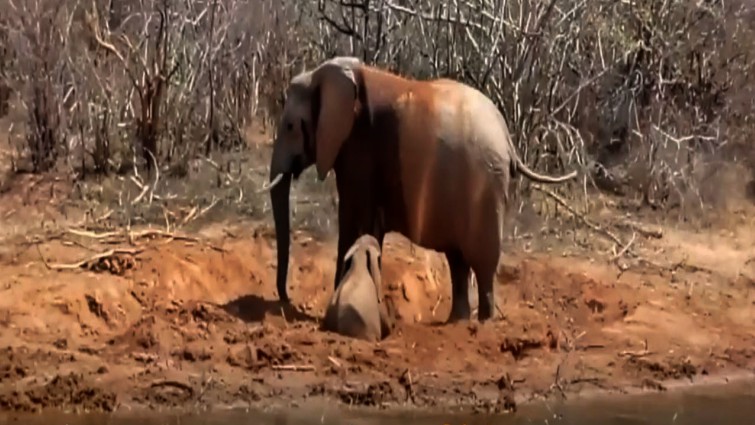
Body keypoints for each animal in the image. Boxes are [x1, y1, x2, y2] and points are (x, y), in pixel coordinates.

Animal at [263, 56, 577, 322]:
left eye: (290, 126)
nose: (286, 299)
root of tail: (507, 137)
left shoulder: (359, 149)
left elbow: (354, 219)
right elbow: (369, 228)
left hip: (486, 185)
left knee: (482, 263)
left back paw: (483, 324)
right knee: (458, 261)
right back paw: (456, 322)